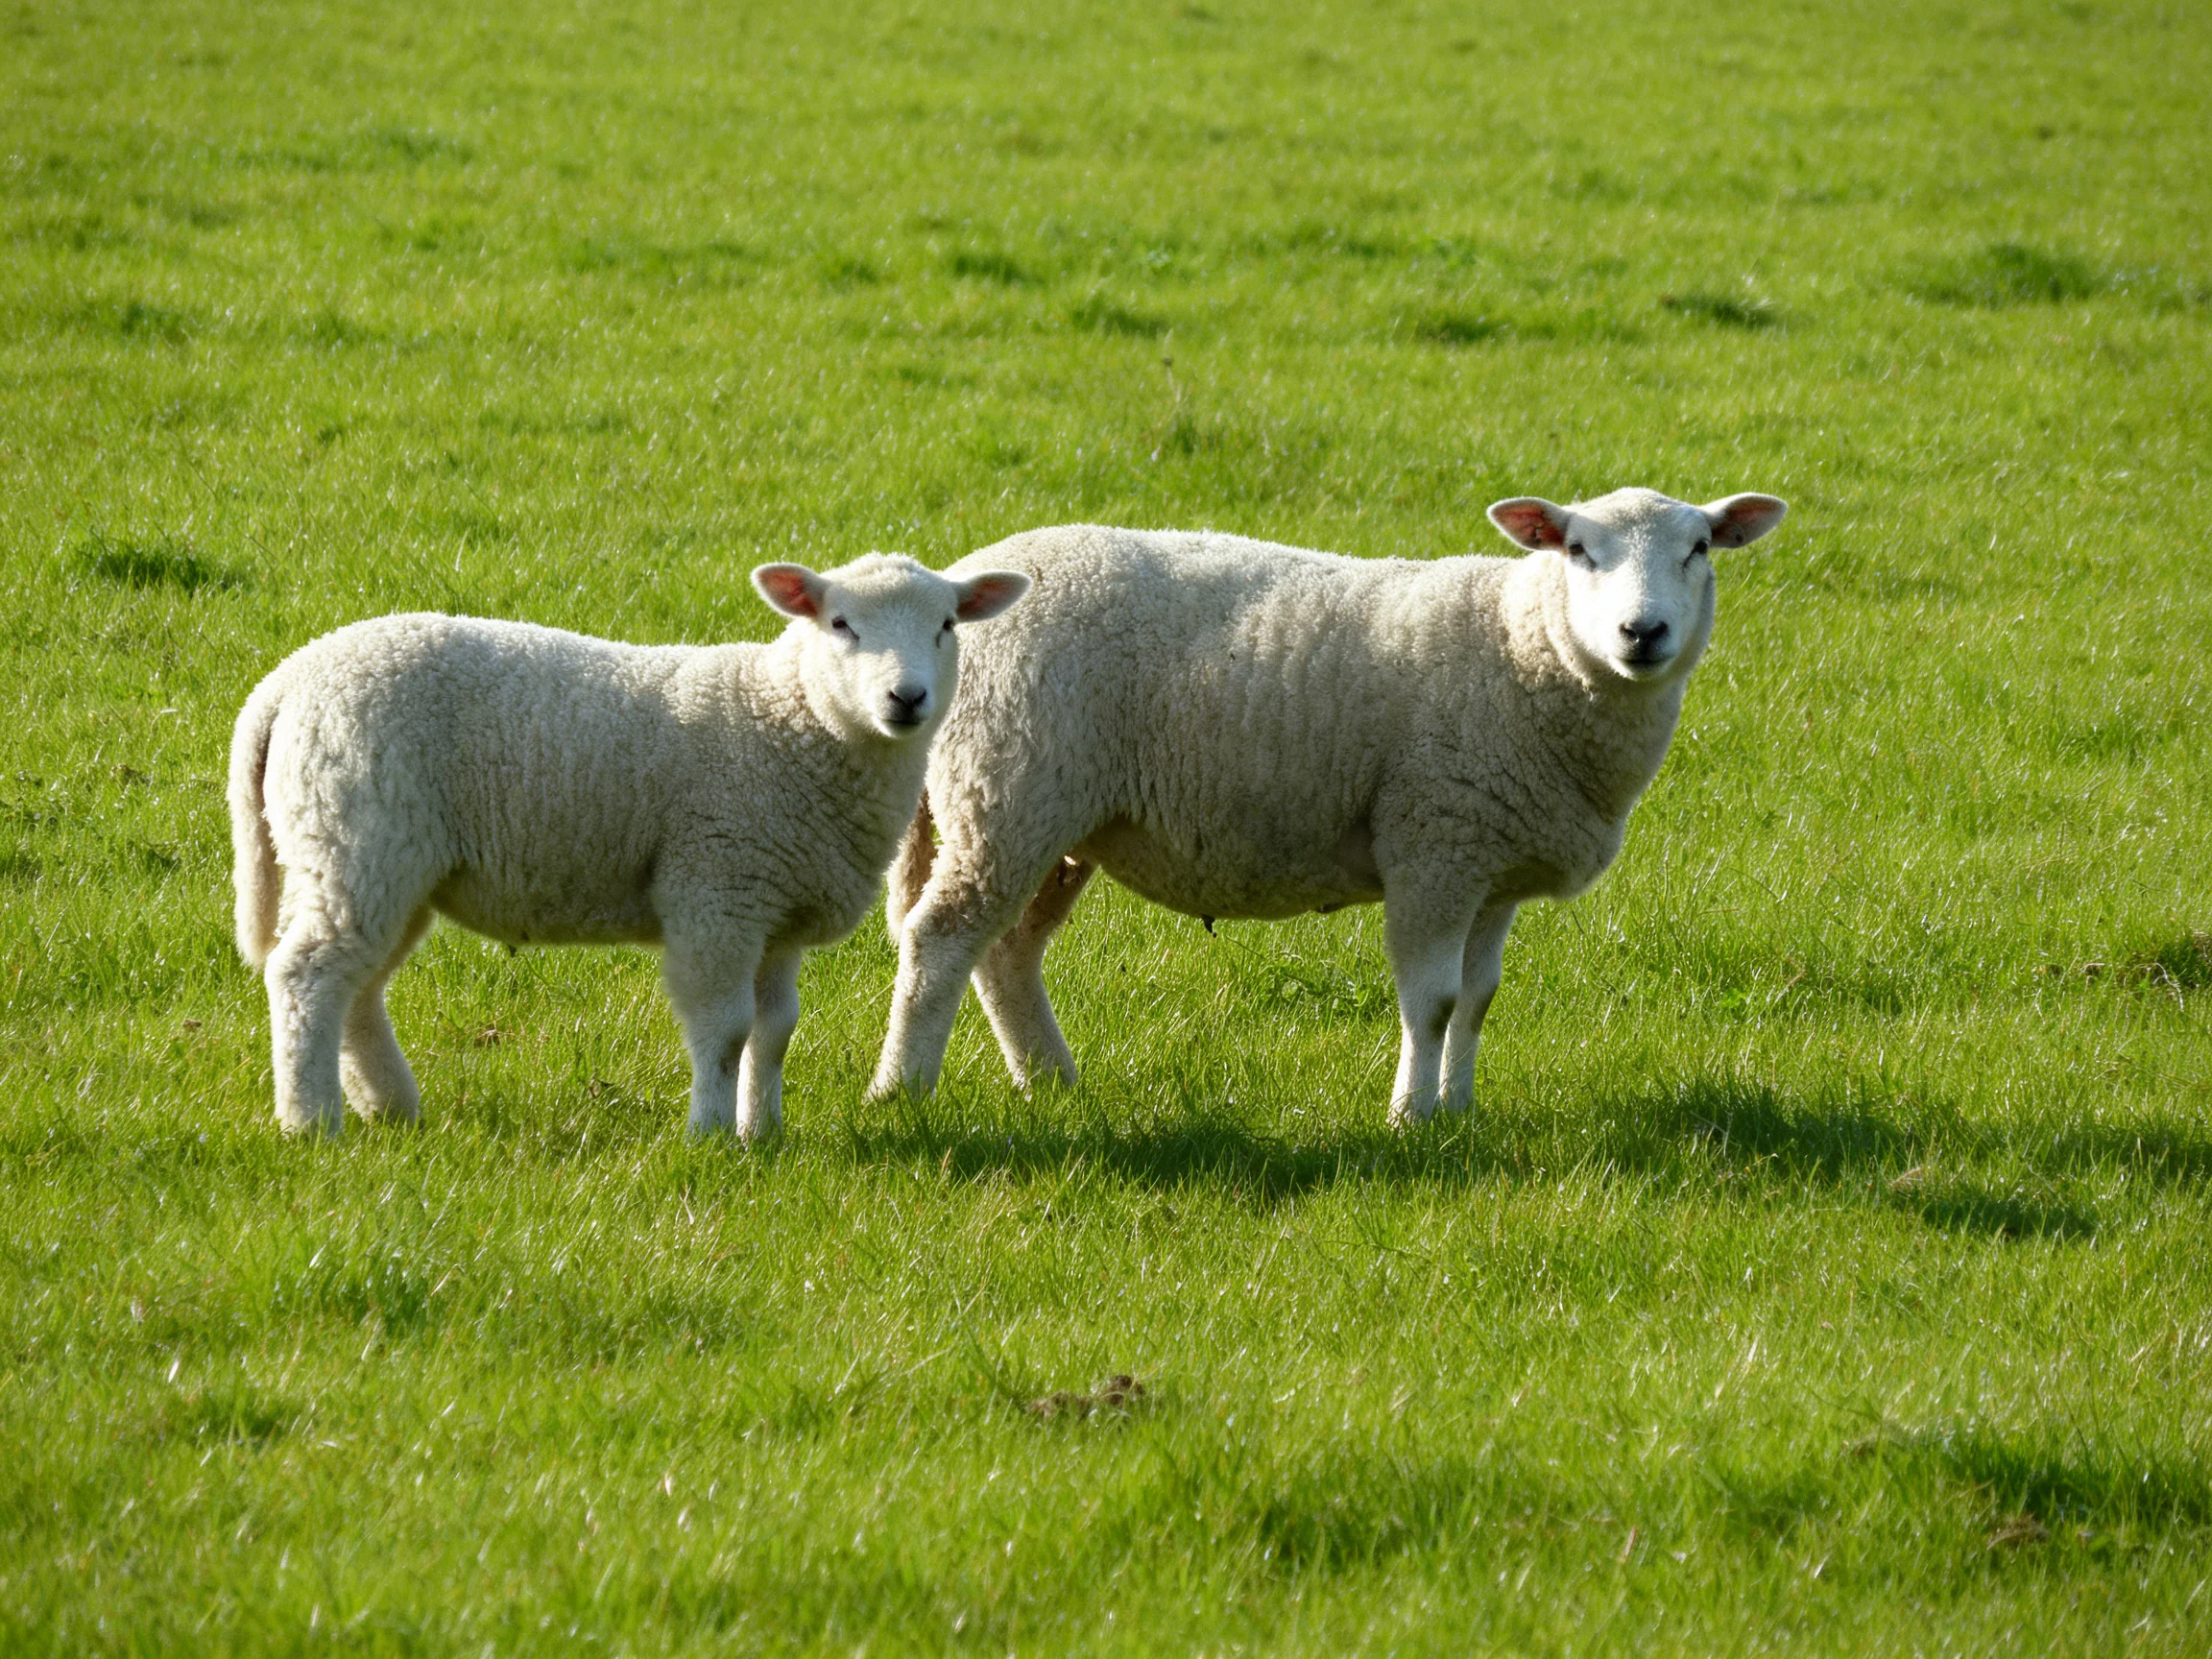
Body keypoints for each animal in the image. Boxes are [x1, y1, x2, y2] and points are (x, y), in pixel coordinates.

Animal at [228, 555, 1029, 1140]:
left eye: (947, 625)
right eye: (839, 624)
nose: (907, 698)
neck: (789, 718)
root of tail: (286, 681)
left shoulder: (775, 911)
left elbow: (774, 1031)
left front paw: (764, 1132)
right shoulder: (717, 890)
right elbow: (726, 1028)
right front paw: (710, 1135)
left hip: (386, 862)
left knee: (358, 987)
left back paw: (389, 1105)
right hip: (357, 839)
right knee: (308, 976)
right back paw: (310, 1122)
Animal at [870, 487, 1786, 1125]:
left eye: (1698, 548)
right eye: (1580, 551)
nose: (1643, 633)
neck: (1522, 646)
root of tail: (955, 593)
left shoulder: (1491, 867)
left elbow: (1478, 998)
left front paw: (1462, 1111)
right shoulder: (1433, 846)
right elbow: (1434, 1000)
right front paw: (1412, 1118)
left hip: (1053, 818)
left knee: (1006, 953)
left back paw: (1052, 1081)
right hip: (1009, 790)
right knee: (942, 940)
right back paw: (903, 1090)